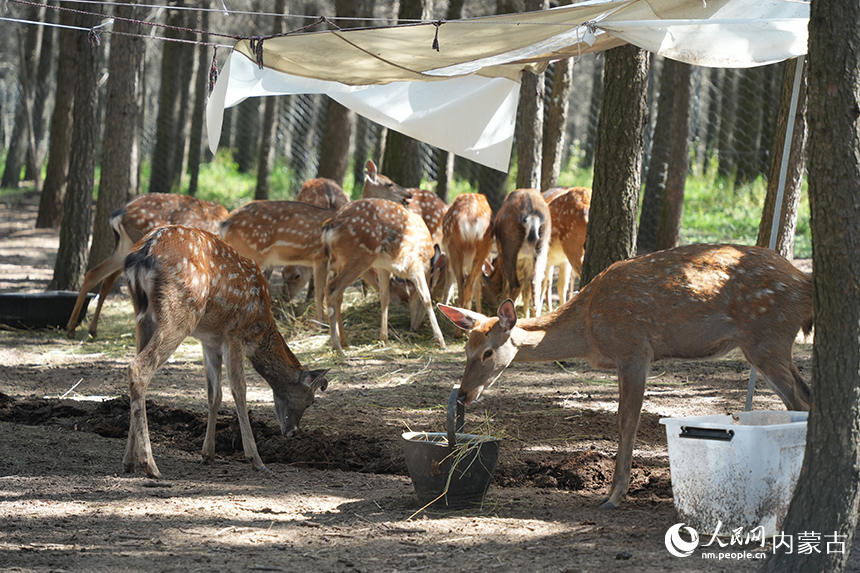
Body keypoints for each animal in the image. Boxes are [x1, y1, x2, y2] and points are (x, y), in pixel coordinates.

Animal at [122, 225, 329, 479]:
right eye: (310, 401)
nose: (293, 432)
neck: (261, 327)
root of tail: (142, 254)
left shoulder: (210, 341)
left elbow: (214, 394)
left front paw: (207, 454)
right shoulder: (235, 333)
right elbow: (239, 389)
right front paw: (255, 459)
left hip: (142, 316)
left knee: (136, 367)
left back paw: (128, 462)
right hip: (182, 311)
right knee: (138, 367)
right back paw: (150, 465)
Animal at [322, 198, 446, 354]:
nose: (415, 327)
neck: (427, 263)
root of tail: (330, 226)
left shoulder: (383, 266)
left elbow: (384, 297)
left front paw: (384, 338)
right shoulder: (415, 265)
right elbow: (426, 297)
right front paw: (440, 341)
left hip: (342, 260)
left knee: (339, 296)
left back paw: (344, 343)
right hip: (360, 257)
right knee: (331, 290)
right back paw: (338, 347)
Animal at [437, 243, 813, 510]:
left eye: (487, 352)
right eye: (466, 349)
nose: (464, 394)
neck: (590, 331)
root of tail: (803, 283)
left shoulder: (633, 349)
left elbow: (626, 420)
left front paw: (614, 496)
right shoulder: (623, 359)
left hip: (766, 338)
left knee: (801, 400)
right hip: (769, 344)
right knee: (803, 398)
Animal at [490, 188, 551, 318]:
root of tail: (532, 217)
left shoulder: (502, 253)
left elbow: (506, 282)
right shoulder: (528, 261)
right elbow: (526, 291)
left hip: (509, 247)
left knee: (515, 285)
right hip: (542, 247)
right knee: (535, 283)